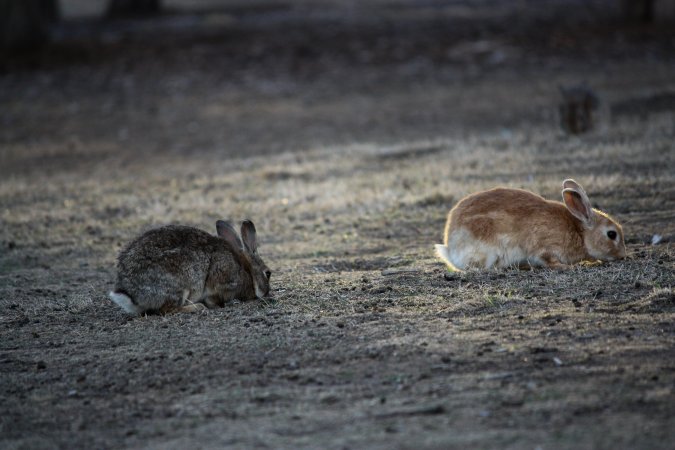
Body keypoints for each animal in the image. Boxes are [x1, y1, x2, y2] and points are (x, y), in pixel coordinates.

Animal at [108, 219, 271, 315]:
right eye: (268, 273)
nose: (267, 292)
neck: (246, 269)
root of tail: (130, 293)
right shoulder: (221, 282)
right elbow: (214, 298)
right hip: (181, 283)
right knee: (169, 309)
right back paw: (197, 307)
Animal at [434, 179, 626, 271]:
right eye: (612, 234)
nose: (623, 255)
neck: (580, 233)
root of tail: (451, 248)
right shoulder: (544, 247)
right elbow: (548, 260)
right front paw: (569, 266)